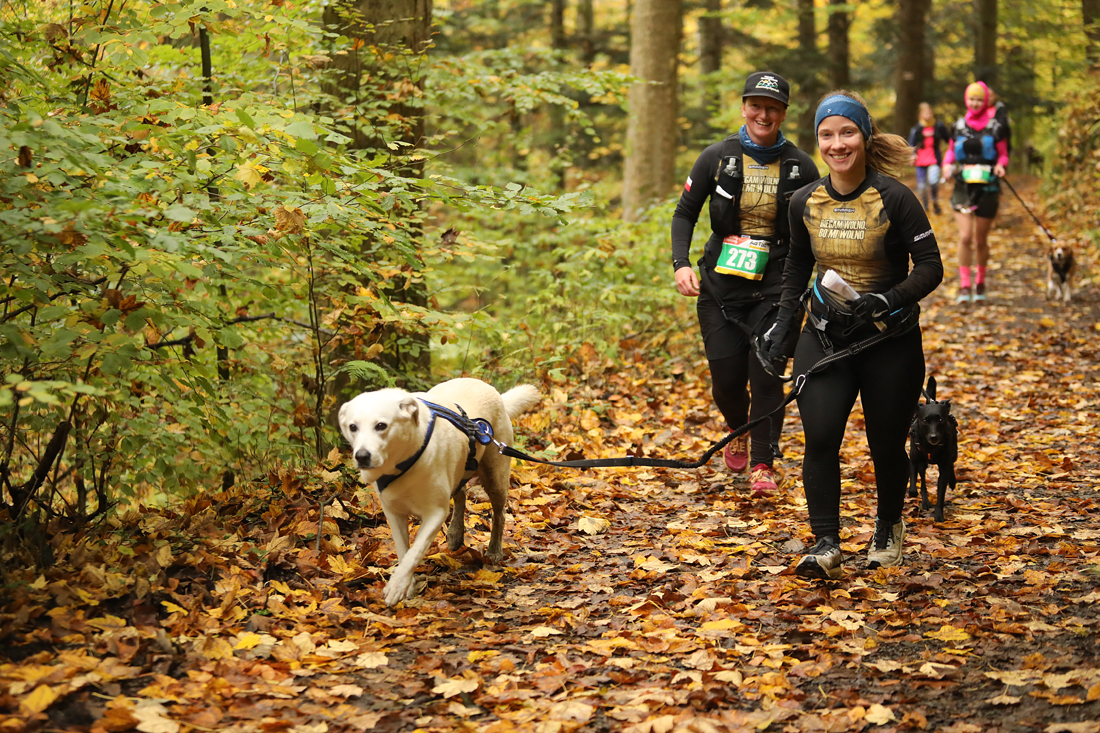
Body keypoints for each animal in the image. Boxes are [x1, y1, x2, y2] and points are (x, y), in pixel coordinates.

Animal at [338, 378, 540, 606]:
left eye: (381, 426)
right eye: (353, 427)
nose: (362, 456)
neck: (402, 462)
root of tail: (492, 390)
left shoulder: (435, 513)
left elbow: (415, 552)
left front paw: (397, 587)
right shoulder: (393, 513)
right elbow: (403, 551)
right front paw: (406, 586)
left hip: (495, 476)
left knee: (499, 514)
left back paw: (494, 550)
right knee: (460, 494)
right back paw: (455, 533)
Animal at [907, 376, 958, 523]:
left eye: (940, 419)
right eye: (925, 420)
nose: (934, 437)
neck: (931, 446)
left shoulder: (944, 468)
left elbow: (941, 493)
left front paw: (938, 515)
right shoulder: (914, 459)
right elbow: (914, 482)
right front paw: (914, 492)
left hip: (953, 453)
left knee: (952, 464)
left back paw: (952, 481)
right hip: (922, 464)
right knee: (923, 480)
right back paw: (925, 502)